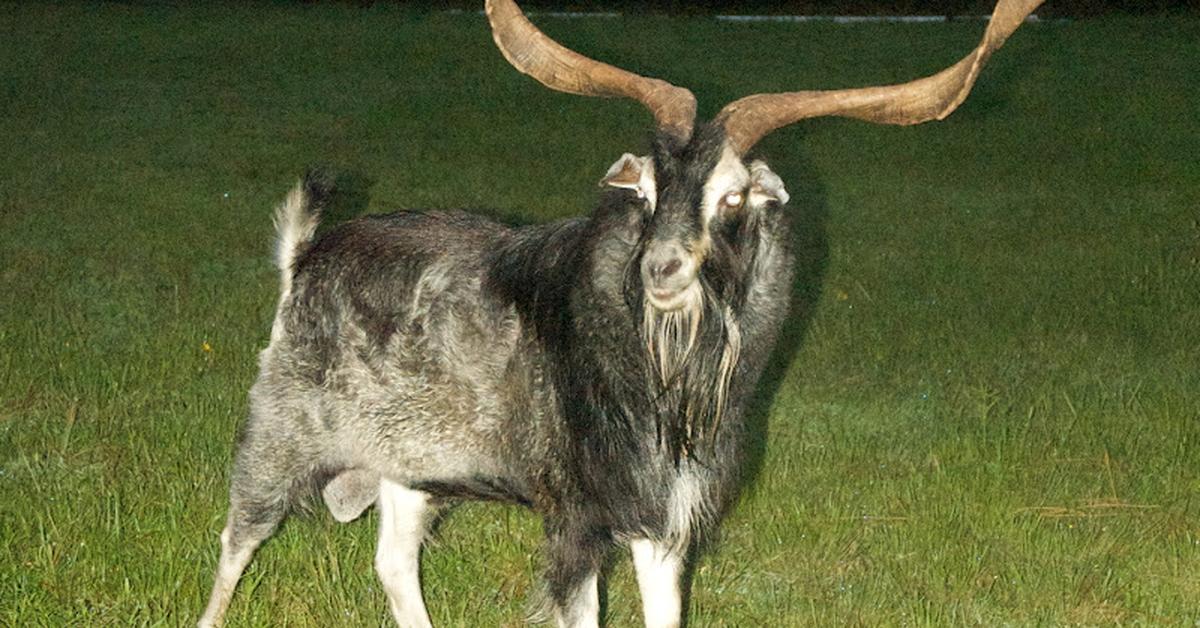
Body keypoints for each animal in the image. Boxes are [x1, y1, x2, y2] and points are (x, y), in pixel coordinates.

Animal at [199, 2, 1041, 624]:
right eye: (646, 190)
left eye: (733, 196)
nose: (662, 267)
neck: (663, 381)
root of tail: (305, 256)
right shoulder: (577, 520)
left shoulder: (665, 525)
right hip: (277, 438)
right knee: (237, 540)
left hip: (412, 469)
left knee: (394, 564)